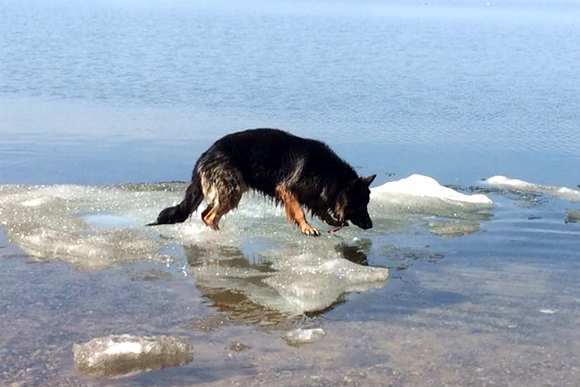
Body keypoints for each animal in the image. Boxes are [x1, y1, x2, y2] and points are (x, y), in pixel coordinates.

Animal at [150, 129, 376, 236]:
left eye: (366, 204)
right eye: (359, 204)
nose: (371, 225)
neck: (329, 174)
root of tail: (204, 156)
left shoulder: (313, 193)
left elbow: (320, 208)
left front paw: (331, 220)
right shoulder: (286, 188)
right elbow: (299, 211)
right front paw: (306, 228)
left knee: (206, 213)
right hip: (233, 190)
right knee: (209, 215)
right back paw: (219, 234)